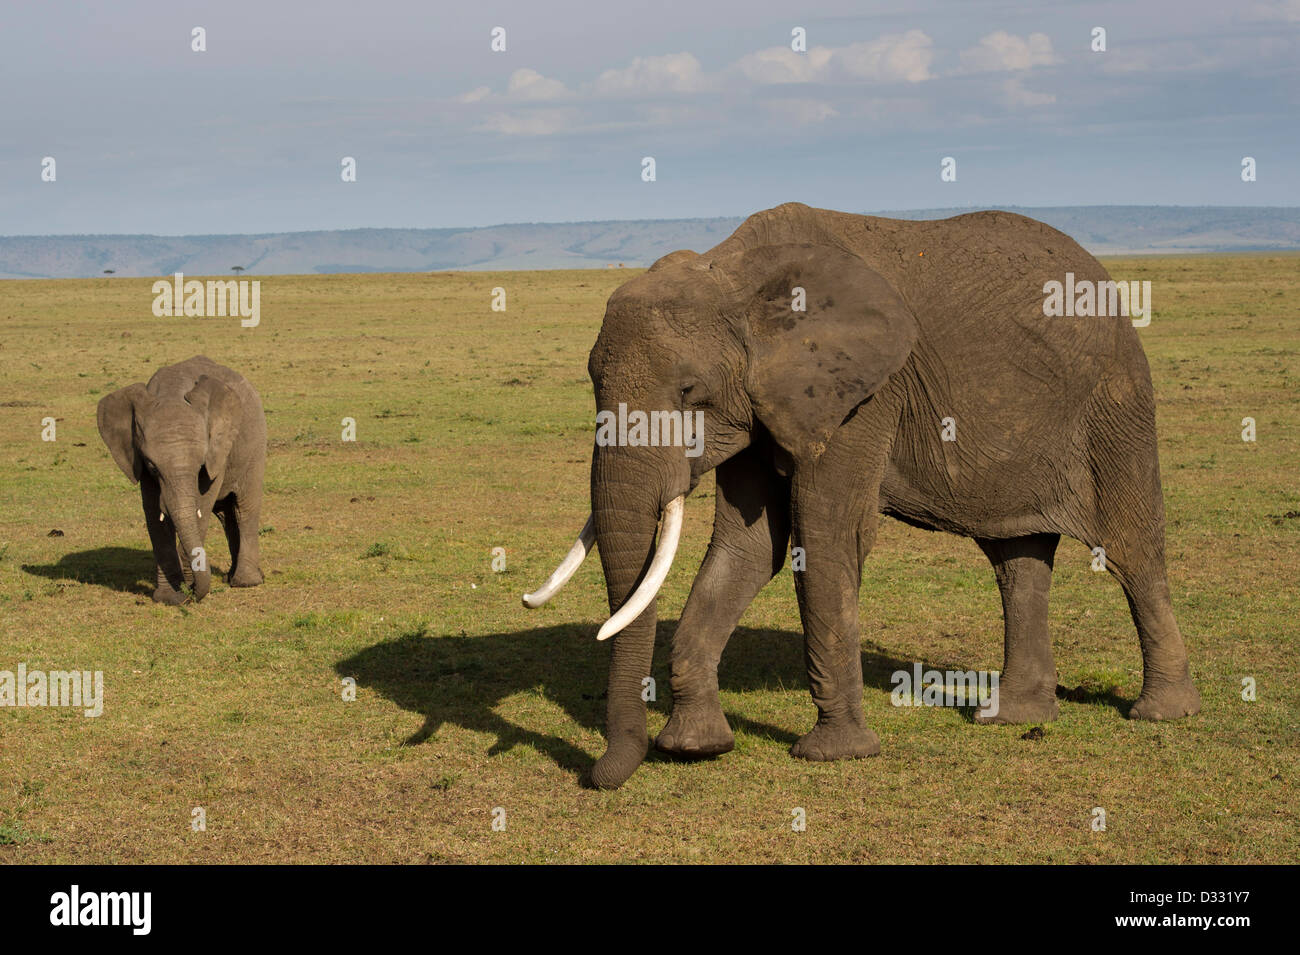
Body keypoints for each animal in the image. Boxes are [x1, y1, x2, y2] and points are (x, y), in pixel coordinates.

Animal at [97, 355, 266, 605]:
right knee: (227, 516)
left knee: (244, 508)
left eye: (200, 465)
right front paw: (168, 596)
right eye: (152, 466)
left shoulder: (216, 451)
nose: (189, 593)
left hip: (255, 446)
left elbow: (202, 505)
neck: (172, 391)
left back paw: (245, 582)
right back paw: (232, 577)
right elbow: (153, 513)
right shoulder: (139, 457)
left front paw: (185, 588)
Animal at [523, 201, 1200, 790]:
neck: (735, 276)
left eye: (690, 391)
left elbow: (825, 533)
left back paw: (1162, 712)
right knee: (1017, 560)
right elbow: (752, 546)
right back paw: (1014, 718)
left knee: (1132, 550)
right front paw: (695, 748)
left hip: (1115, 399)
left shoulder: (860, 395)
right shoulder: (765, 401)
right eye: (591, 380)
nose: (599, 777)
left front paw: (834, 753)